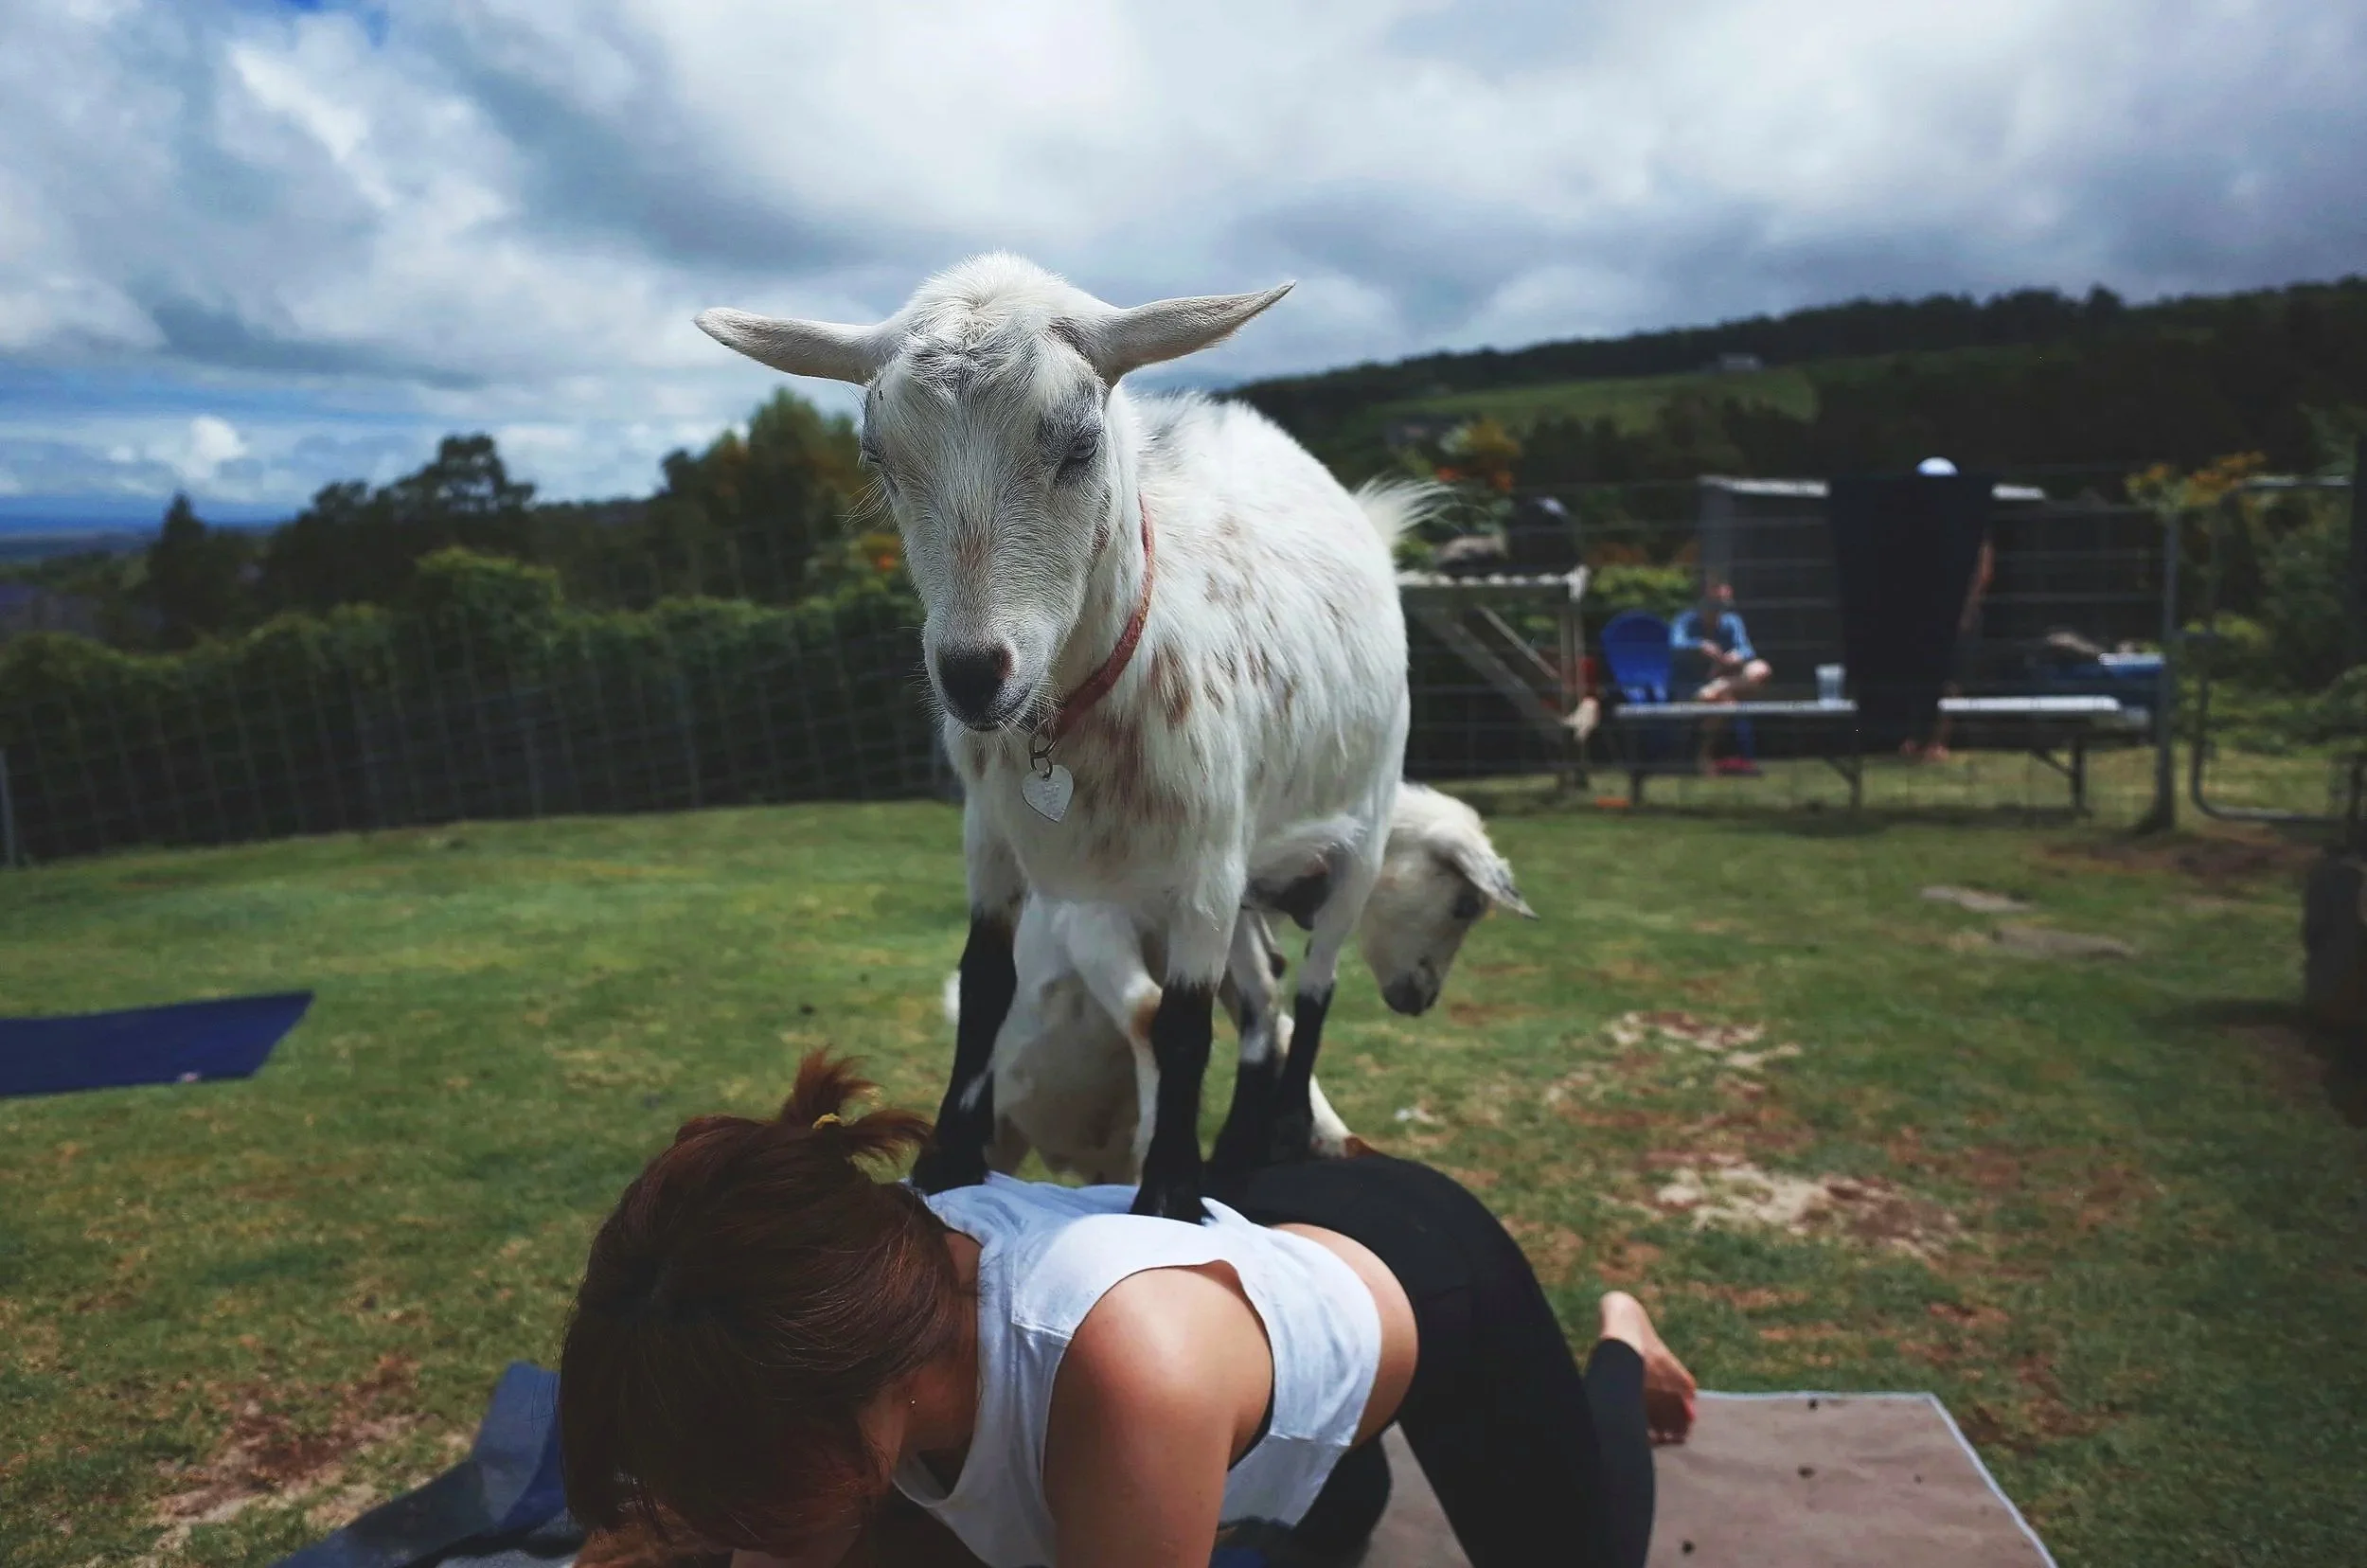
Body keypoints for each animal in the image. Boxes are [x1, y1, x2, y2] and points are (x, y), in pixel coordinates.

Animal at [699, 254, 1416, 1220]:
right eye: (878, 457)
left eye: (1079, 446)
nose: (973, 675)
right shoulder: (991, 838)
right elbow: (987, 986)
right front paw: (947, 1162)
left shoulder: (1206, 864)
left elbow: (1182, 1025)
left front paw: (1168, 1197)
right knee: (1265, 994)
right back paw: (1238, 1147)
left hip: (1357, 826)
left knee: (1317, 981)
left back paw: (1283, 1132)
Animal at [967, 781, 1536, 1185]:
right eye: (1465, 905)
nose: (1421, 999)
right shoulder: (1093, 921)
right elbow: (1149, 1013)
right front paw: (1161, 1143)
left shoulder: (1225, 956)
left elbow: (1271, 1020)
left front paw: (1332, 1138)